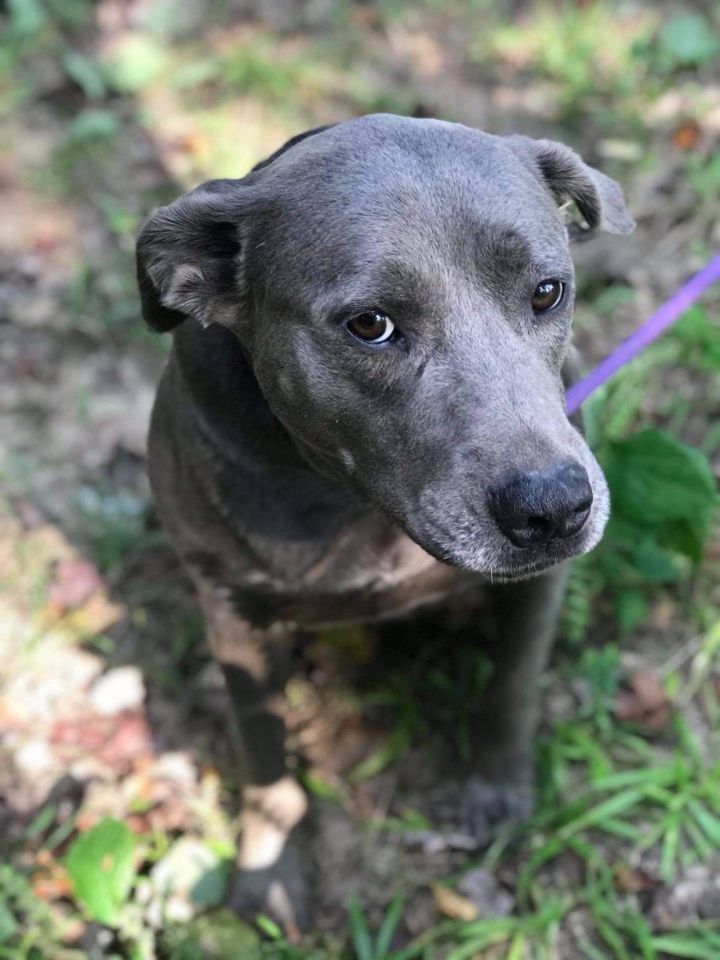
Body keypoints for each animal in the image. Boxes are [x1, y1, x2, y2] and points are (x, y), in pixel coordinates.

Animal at [136, 114, 633, 932]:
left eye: (547, 292)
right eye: (370, 324)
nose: (555, 506)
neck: (354, 500)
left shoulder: (537, 588)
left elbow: (513, 684)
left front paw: (498, 787)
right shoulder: (234, 613)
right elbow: (264, 752)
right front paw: (267, 872)